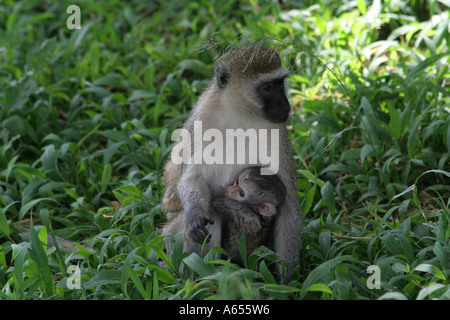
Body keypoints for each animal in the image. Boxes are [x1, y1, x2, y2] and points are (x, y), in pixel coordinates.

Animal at [162, 43, 302, 278]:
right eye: (267, 88)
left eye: (280, 84)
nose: (285, 105)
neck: (240, 115)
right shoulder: (202, 121)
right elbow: (191, 178)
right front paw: (195, 214)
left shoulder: (277, 131)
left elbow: (288, 202)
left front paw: (289, 282)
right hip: (170, 237)